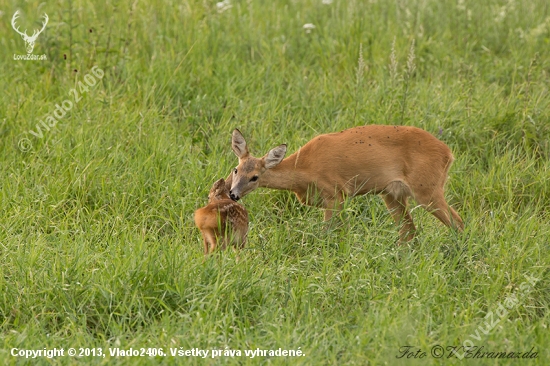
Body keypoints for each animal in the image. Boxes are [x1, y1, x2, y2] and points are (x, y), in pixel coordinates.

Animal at [226, 126, 464, 243]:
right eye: (236, 169)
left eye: (255, 177)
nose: (233, 194)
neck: (305, 169)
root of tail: (449, 154)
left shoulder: (335, 193)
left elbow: (329, 232)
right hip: (392, 194)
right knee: (409, 231)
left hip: (427, 188)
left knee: (458, 222)